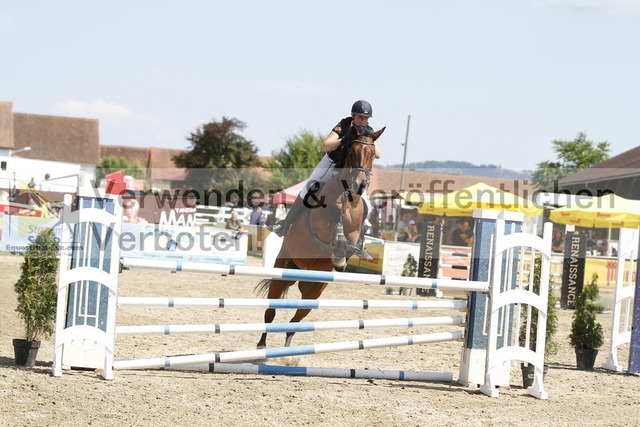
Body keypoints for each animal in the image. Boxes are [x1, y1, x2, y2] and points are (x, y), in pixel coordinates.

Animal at [257, 125, 385, 349]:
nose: (360, 185)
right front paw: (339, 246)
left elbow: (353, 239)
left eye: (372, 154)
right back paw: (262, 345)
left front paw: (343, 256)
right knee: (270, 312)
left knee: (295, 320)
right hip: (282, 272)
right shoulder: (320, 220)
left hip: (314, 291)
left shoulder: (355, 230)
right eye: (352, 151)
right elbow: (334, 219)